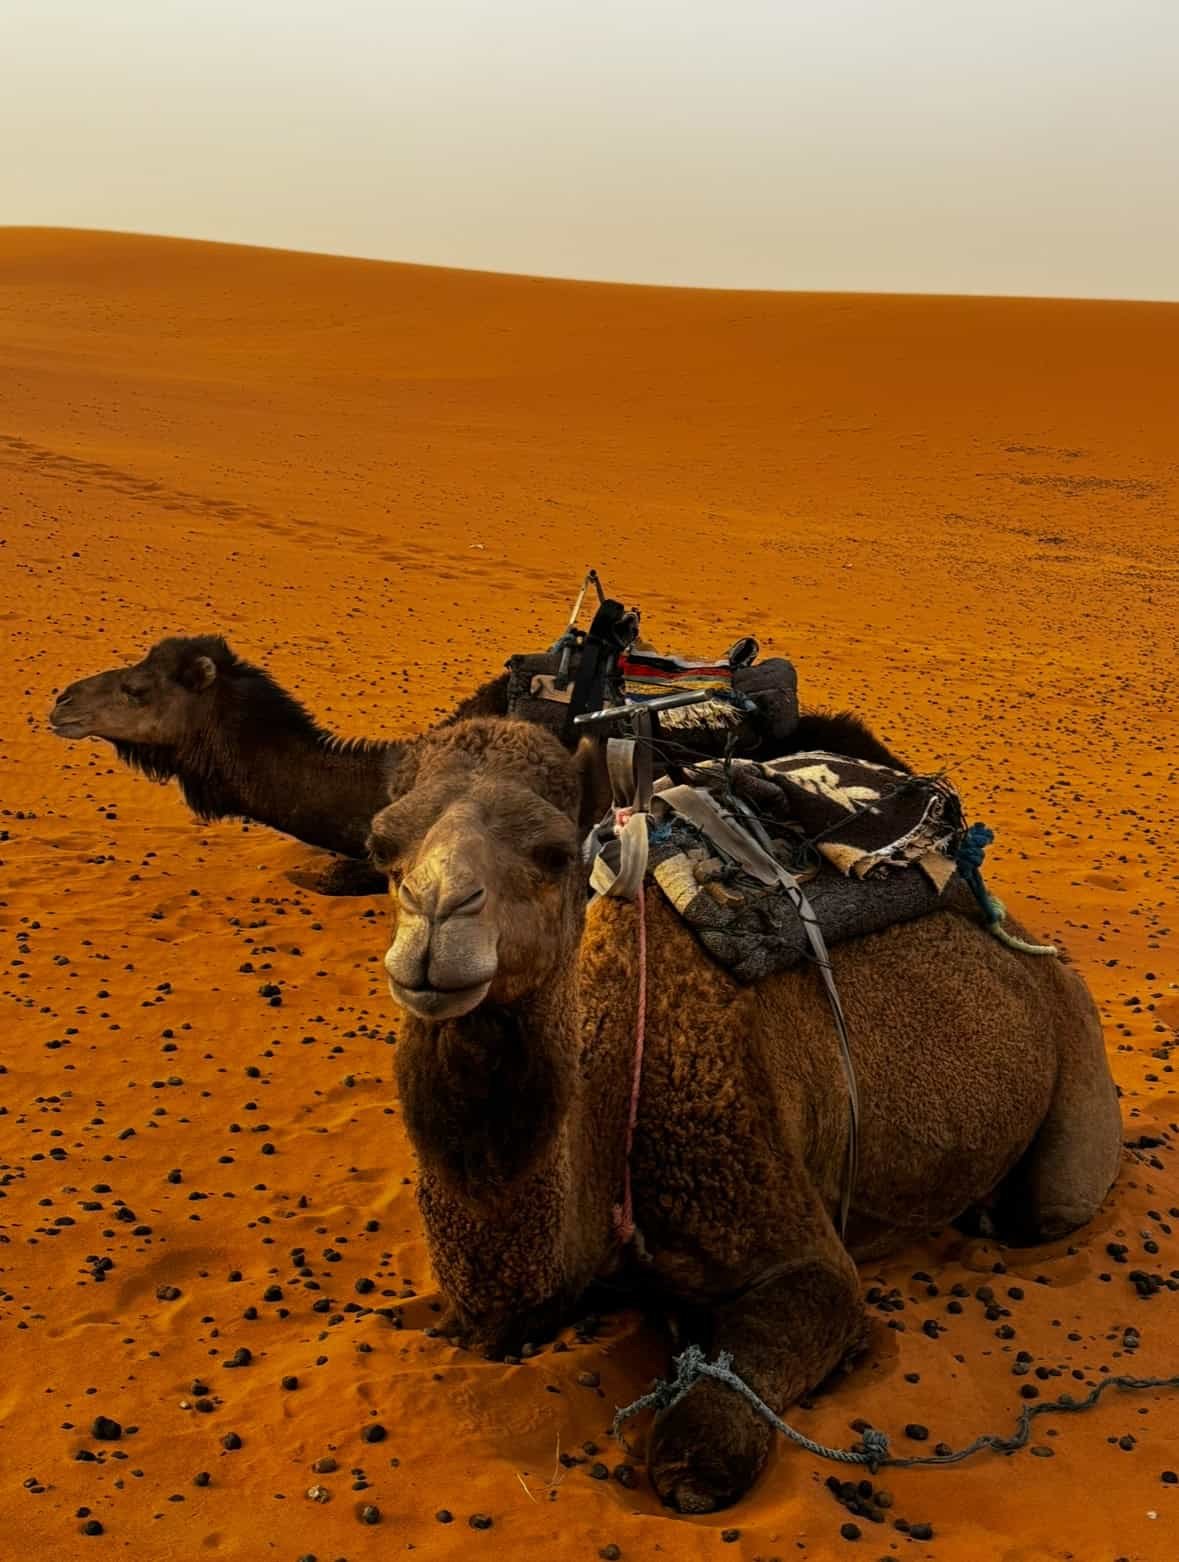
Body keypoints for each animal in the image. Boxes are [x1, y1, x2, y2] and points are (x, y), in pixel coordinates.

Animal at [375, 717, 1122, 1514]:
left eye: (552, 854)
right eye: (381, 848)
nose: (436, 919)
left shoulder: (763, 1185)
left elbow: (701, 1453)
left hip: (1076, 1062)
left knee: (1050, 1205)